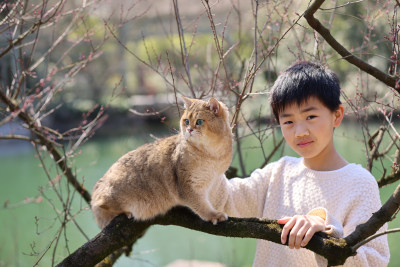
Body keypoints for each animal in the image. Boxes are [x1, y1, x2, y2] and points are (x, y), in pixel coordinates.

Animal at [91, 97, 233, 229]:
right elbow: (201, 205)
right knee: (100, 205)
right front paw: (213, 215)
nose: (189, 130)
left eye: (199, 122)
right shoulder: (187, 186)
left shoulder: (212, 181)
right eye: (186, 121)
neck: (211, 154)